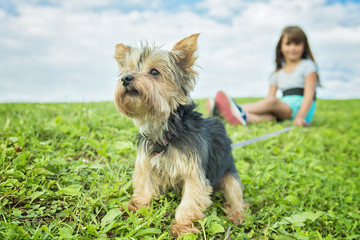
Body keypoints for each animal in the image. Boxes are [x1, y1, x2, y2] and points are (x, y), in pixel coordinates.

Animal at [113, 33, 248, 236]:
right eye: (127, 70)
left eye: (154, 72)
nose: (126, 78)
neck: (166, 130)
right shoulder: (146, 164)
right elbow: (144, 187)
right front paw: (136, 207)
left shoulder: (194, 173)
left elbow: (190, 202)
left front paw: (182, 227)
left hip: (228, 172)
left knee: (235, 193)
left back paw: (237, 214)